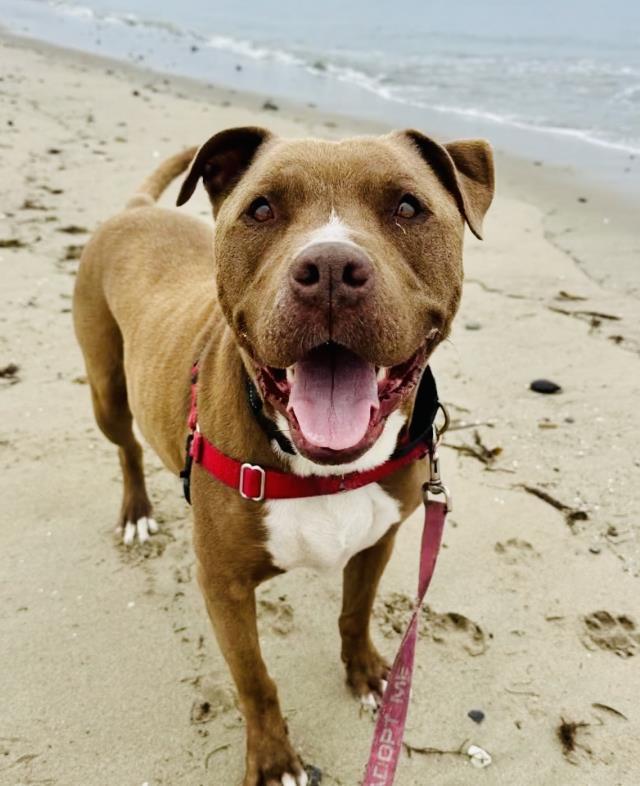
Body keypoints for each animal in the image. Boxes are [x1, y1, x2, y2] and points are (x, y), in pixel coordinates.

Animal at [74, 130, 496, 784]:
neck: (325, 470)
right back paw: (138, 511)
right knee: (127, 448)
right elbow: (254, 681)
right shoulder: (223, 586)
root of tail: (137, 210)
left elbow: (355, 611)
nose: (330, 271)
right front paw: (274, 760)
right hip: (107, 390)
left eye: (408, 207)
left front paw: (367, 673)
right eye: (262, 209)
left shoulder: (376, 541)